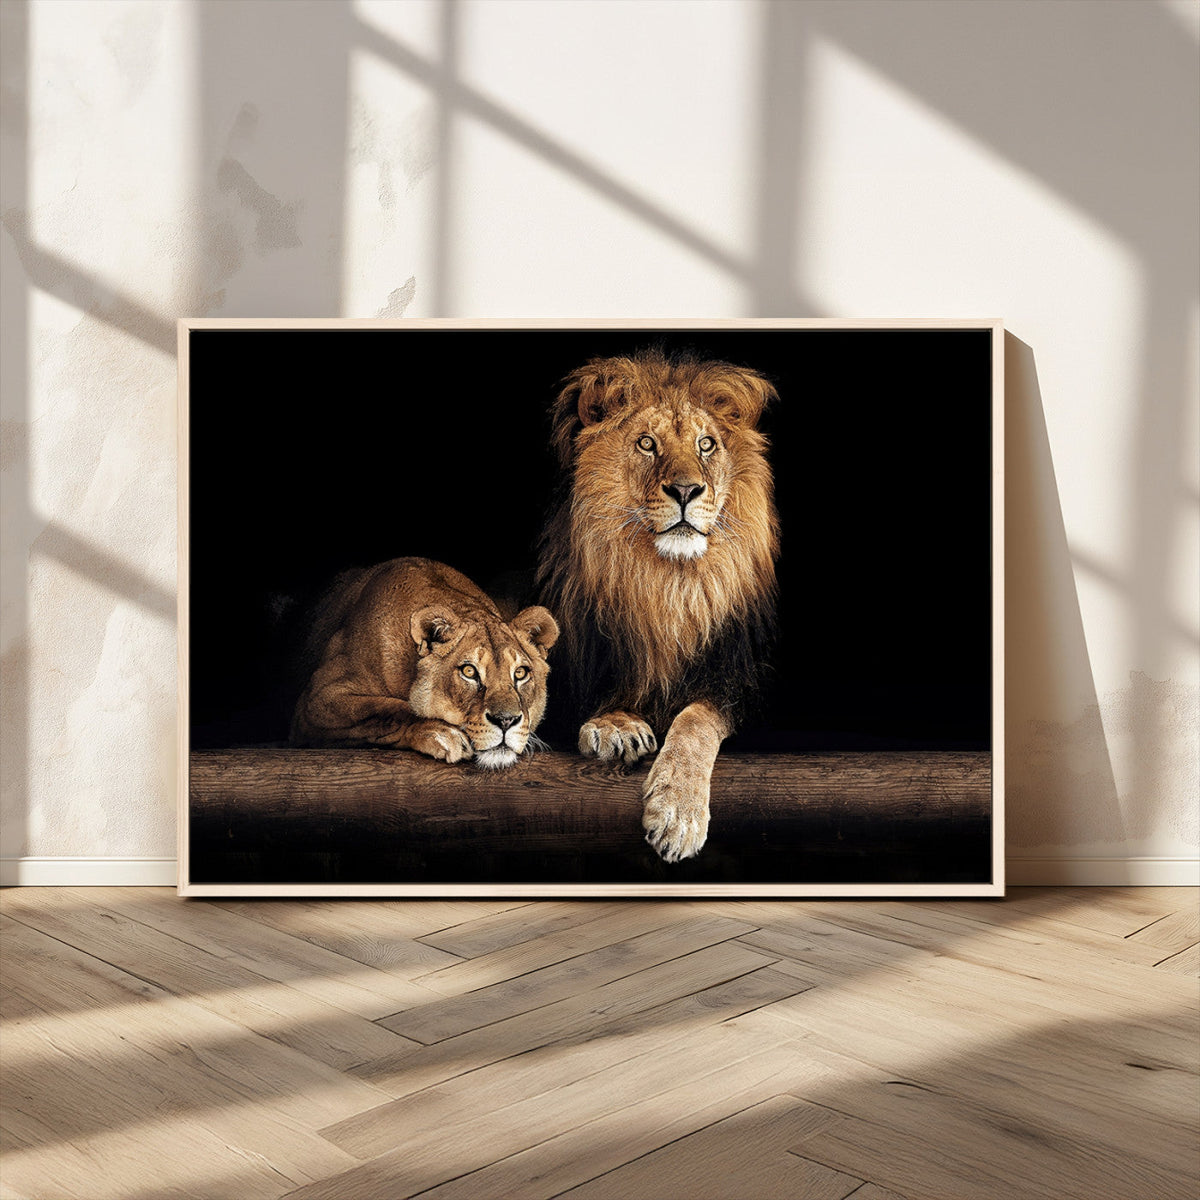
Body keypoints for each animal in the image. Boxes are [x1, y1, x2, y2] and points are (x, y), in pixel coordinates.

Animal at [290, 557, 559, 769]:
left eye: (521, 673)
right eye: (469, 671)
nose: (506, 721)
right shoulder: (317, 699)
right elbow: (388, 710)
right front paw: (443, 733)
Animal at [537, 348, 780, 861]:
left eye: (706, 444)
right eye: (647, 444)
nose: (686, 490)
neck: (667, 586)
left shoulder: (741, 681)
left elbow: (695, 719)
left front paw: (678, 813)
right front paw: (616, 725)